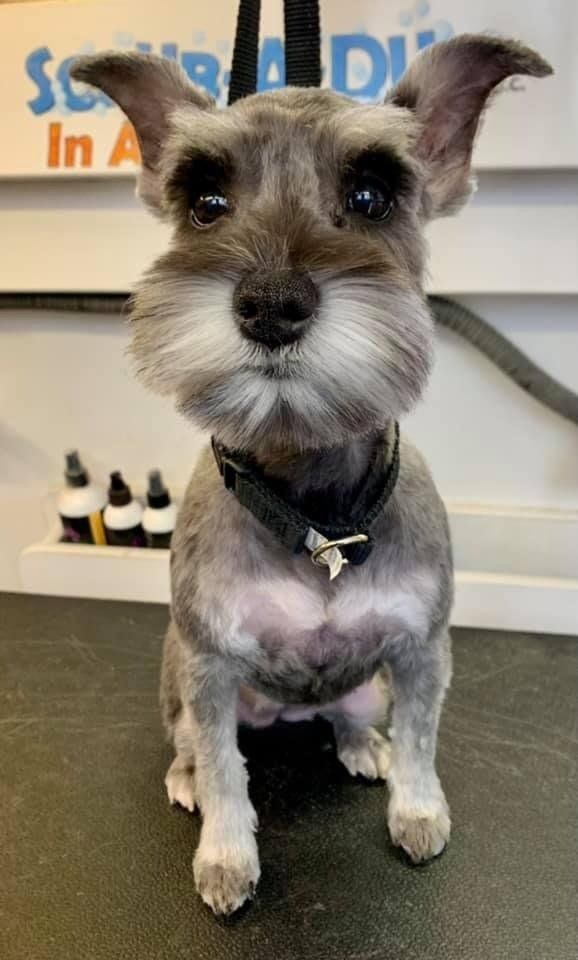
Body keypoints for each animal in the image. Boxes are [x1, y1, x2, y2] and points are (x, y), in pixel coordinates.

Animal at [72, 35, 552, 915]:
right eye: (205, 202)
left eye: (371, 195)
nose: (271, 302)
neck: (314, 509)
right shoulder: (210, 665)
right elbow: (227, 771)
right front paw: (226, 856)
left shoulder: (423, 650)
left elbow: (424, 738)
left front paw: (417, 809)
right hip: (178, 680)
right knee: (196, 745)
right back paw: (186, 775)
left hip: (366, 684)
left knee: (351, 714)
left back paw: (363, 743)